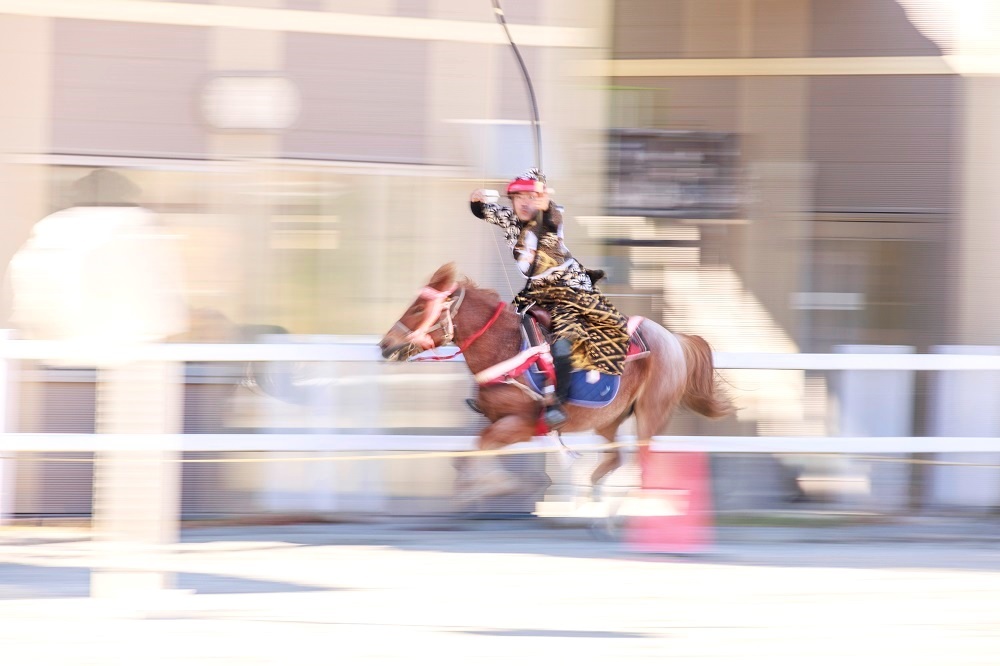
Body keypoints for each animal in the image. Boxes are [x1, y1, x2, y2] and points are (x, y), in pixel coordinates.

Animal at [378, 262, 732, 500]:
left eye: (420, 308)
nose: (385, 344)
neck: (507, 348)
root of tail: (675, 339)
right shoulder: (496, 419)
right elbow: (467, 454)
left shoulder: (520, 424)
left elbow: (480, 449)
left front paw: (496, 485)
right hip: (610, 418)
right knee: (615, 458)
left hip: (650, 413)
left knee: (643, 462)